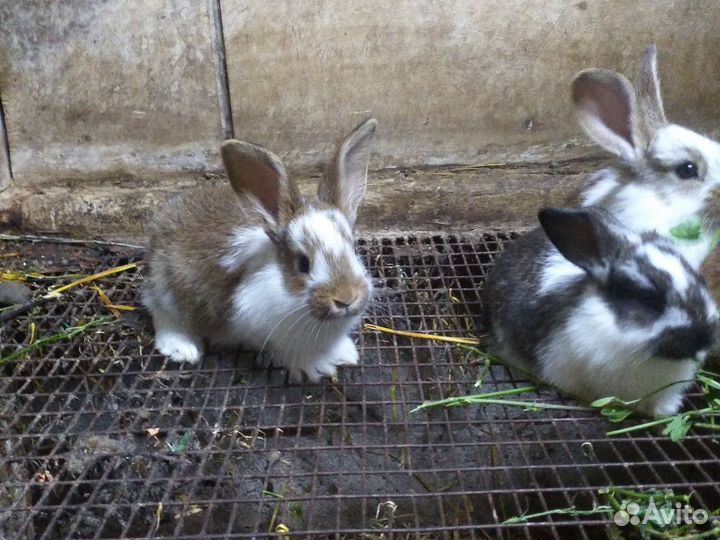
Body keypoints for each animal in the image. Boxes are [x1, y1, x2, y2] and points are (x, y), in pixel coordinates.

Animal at [142, 118, 377, 382]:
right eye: (303, 263)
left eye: (353, 248)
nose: (346, 298)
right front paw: (316, 367)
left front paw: (345, 353)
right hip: (167, 290)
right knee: (160, 311)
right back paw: (182, 348)